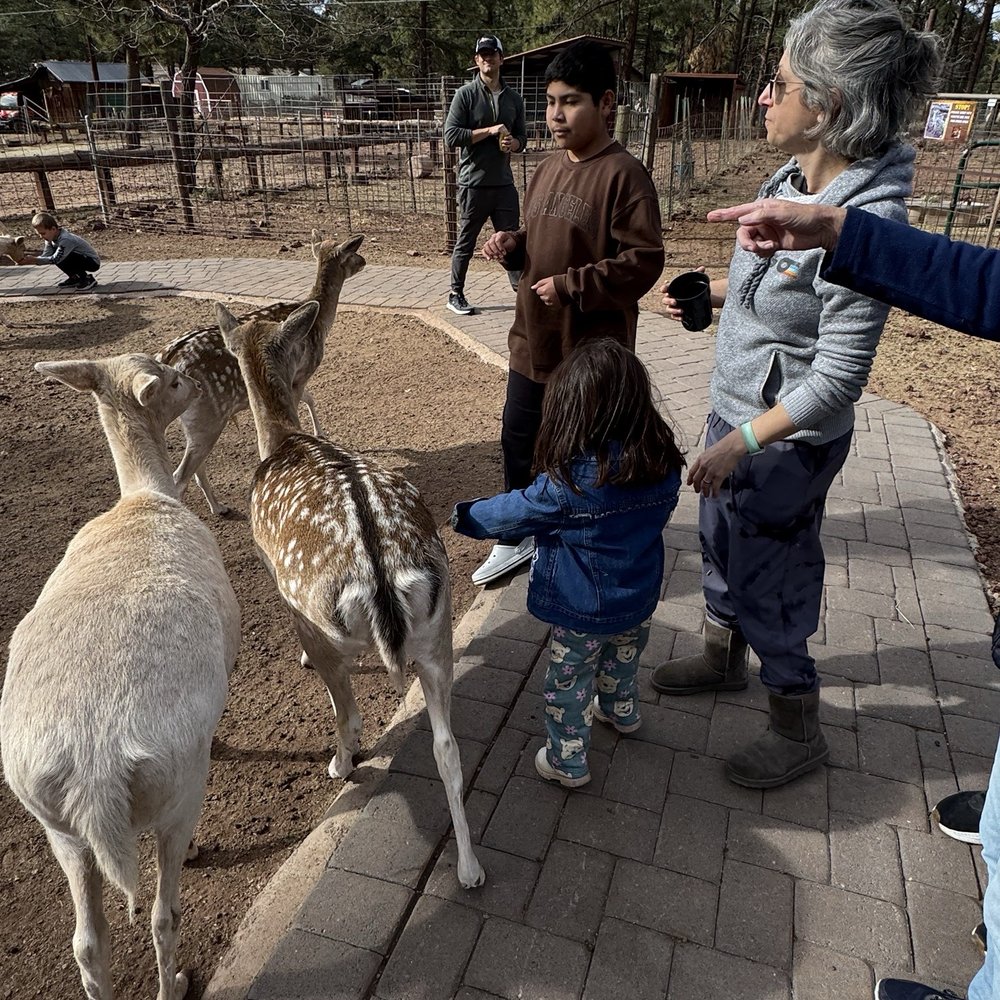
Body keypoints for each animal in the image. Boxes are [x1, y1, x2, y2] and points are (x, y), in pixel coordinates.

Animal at [0, 353, 241, 1000]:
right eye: (175, 379)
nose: (199, 383)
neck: (144, 497)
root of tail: (96, 772)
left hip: (53, 818)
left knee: (87, 941)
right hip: (178, 786)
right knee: (163, 914)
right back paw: (175, 981)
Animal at [157, 232, 365, 517]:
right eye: (353, 252)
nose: (364, 261)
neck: (322, 322)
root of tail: (167, 359)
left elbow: (310, 399)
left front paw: (320, 432)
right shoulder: (302, 372)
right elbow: (304, 401)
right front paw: (317, 433)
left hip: (193, 420)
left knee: (195, 466)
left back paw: (218, 506)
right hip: (207, 417)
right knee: (180, 476)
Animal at [215, 299, 486, 890]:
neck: (281, 440)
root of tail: (383, 579)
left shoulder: (277, 577)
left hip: (329, 628)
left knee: (351, 714)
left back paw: (339, 764)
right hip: (438, 631)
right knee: (448, 748)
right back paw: (470, 869)